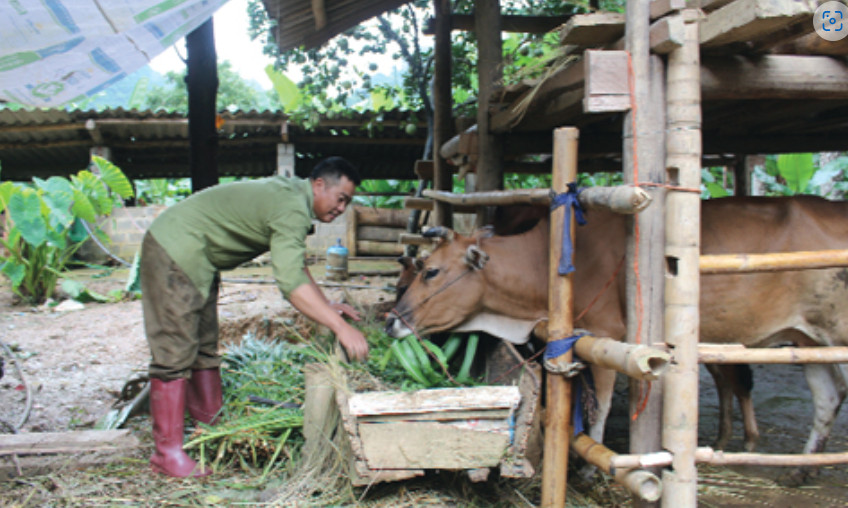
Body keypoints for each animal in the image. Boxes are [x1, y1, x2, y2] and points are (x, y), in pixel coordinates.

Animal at [388, 195, 848, 484]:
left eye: (432, 271)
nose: (392, 321)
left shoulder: (607, 338)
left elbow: (603, 404)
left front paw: (592, 467)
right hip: (807, 341)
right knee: (827, 397)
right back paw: (800, 469)